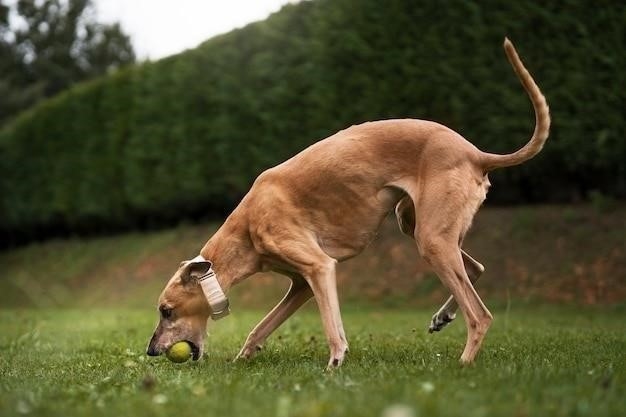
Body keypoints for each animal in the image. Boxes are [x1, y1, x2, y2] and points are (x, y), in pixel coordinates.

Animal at [145, 36, 544, 368]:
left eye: (166, 311)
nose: (150, 351)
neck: (246, 228)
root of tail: (475, 153)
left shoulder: (320, 267)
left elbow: (331, 325)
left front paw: (335, 364)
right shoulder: (301, 284)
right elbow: (261, 326)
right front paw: (243, 357)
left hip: (431, 238)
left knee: (481, 315)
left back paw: (463, 363)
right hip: (417, 224)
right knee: (475, 268)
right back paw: (443, 317)